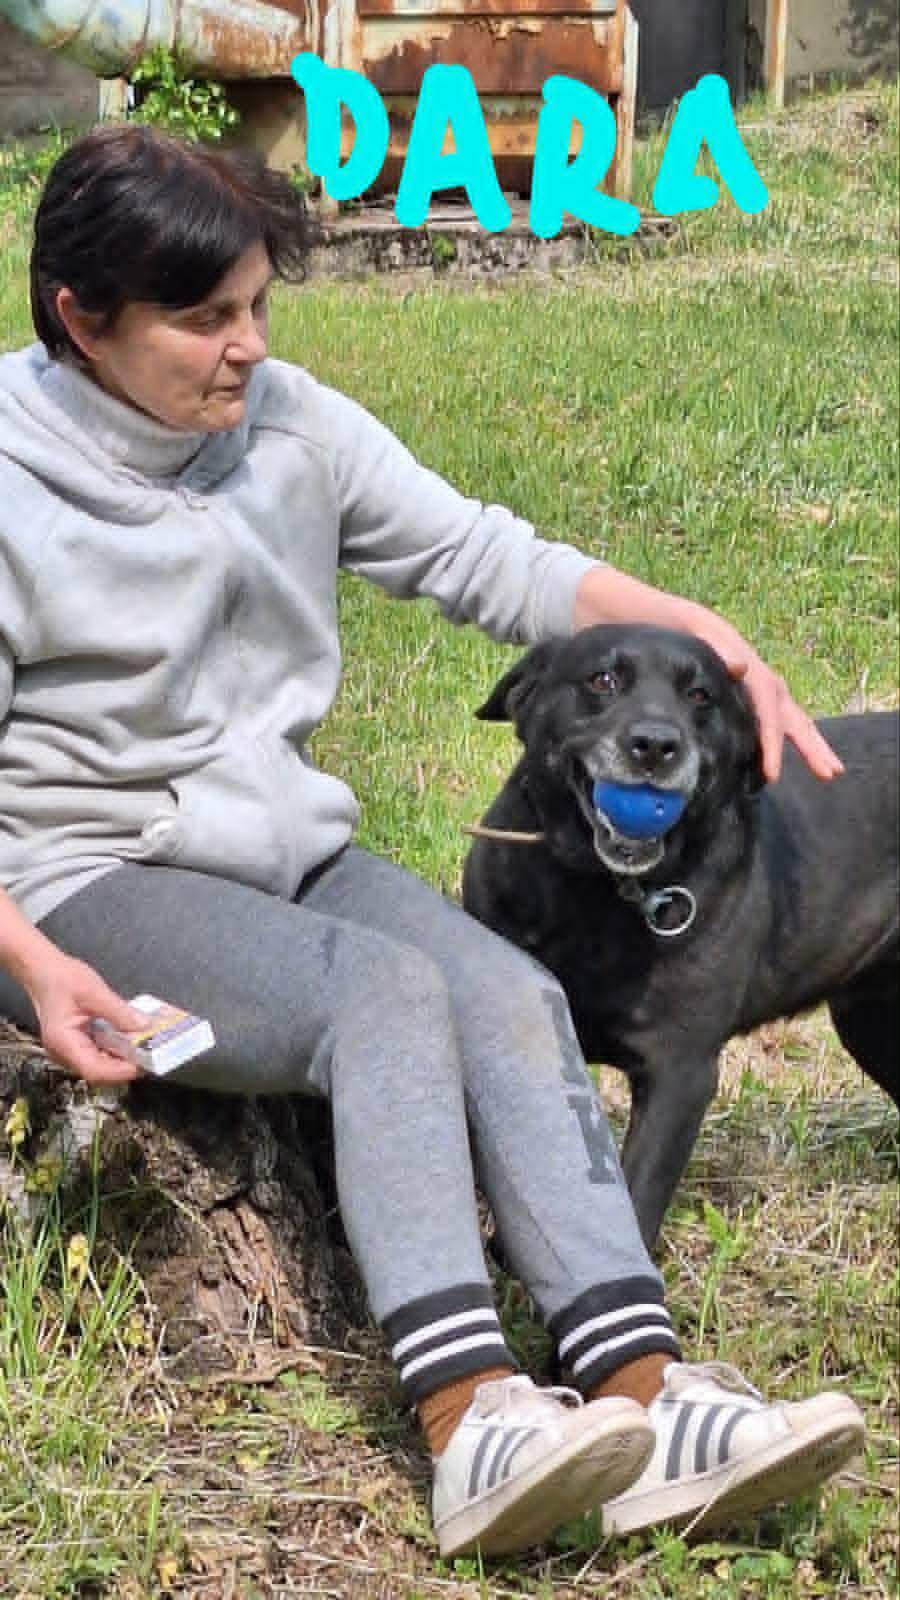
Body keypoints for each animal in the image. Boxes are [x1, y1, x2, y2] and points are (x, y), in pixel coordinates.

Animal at [462, 624, 899, 1248]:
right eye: (603, 679)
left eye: (700, 696)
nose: (654, 745)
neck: (599, 893)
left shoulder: (679, 1072)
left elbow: (636, 1199)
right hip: (869, 1017)